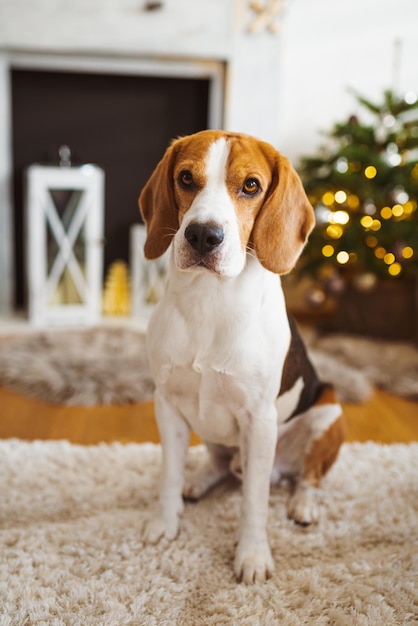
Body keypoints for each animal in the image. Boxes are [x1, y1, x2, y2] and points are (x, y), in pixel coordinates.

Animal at [139, 129, 344, 584]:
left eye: (251, 185)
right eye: (185, 178)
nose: (203, 235)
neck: (208, 301)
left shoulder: (260, 419)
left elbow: (253, 500)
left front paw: (251, 556)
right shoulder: (167, 405)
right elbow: (167, 475)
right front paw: (165, 522)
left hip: (329, 410)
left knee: (308, 477)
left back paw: (303, 504)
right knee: (220, 464)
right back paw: (200, 482)